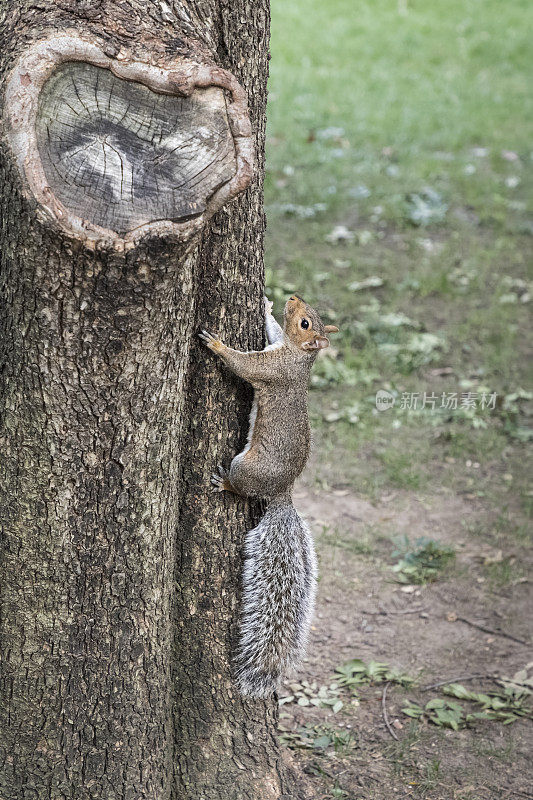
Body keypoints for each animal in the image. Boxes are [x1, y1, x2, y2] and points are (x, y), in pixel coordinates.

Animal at [197, 296, 338, 700]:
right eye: (306, 313)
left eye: (305, 323)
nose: (292, 298)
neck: (299, 357)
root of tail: (280, 494)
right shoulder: (276, 346)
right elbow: (271, 329)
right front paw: (267, 303)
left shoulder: (272, 369)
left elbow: (244, 365)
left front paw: (217, 345)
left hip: (244, 467)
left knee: (241, 487)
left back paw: (225, 484)